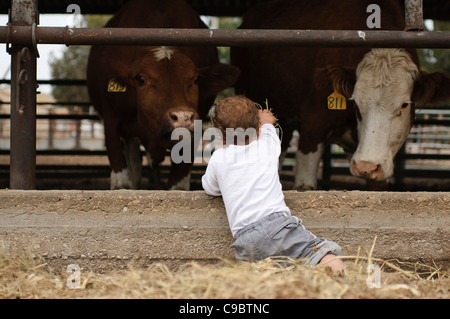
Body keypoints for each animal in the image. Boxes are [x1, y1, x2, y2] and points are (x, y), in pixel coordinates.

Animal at [85, 0, 239, 190]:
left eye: (195, 79)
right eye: (141, 79)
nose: (183, 117)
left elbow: (178, 186)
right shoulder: (112, 122)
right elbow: (123, 184)